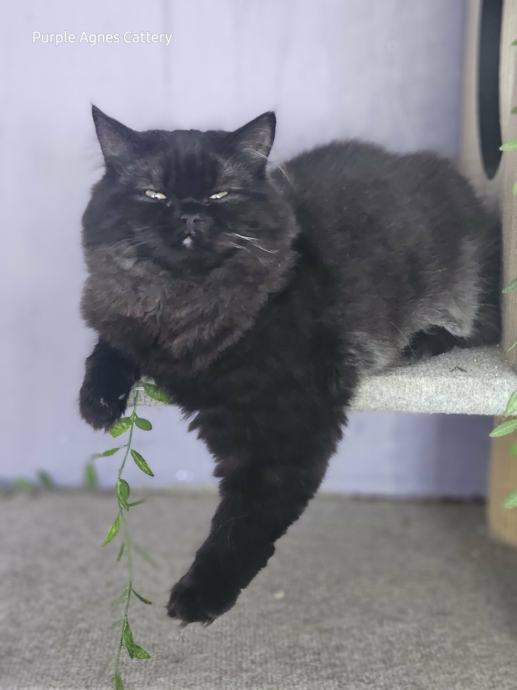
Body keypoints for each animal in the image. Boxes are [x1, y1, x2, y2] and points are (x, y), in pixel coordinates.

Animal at [79, 106, 500, 624]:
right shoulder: (125, 323)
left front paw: (199, 597)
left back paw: (421, 343)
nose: (190, 212)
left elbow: (242, 526)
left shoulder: (285, 430)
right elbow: (109, 347)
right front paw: (97, 402)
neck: (185, 305)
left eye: (221, 193)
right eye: (154, 194)